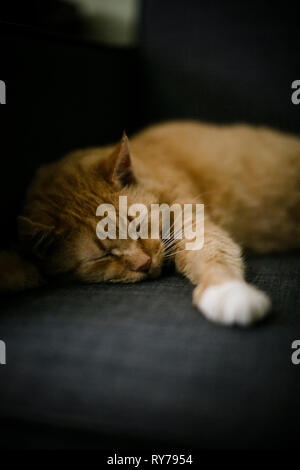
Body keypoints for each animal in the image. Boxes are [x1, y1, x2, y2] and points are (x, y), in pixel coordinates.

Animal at [1, 121, 298, 326]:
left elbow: (212, 251)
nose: (144, 264)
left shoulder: (191, 219)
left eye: (137, 225)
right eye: (103, 256)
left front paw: (229, 291)